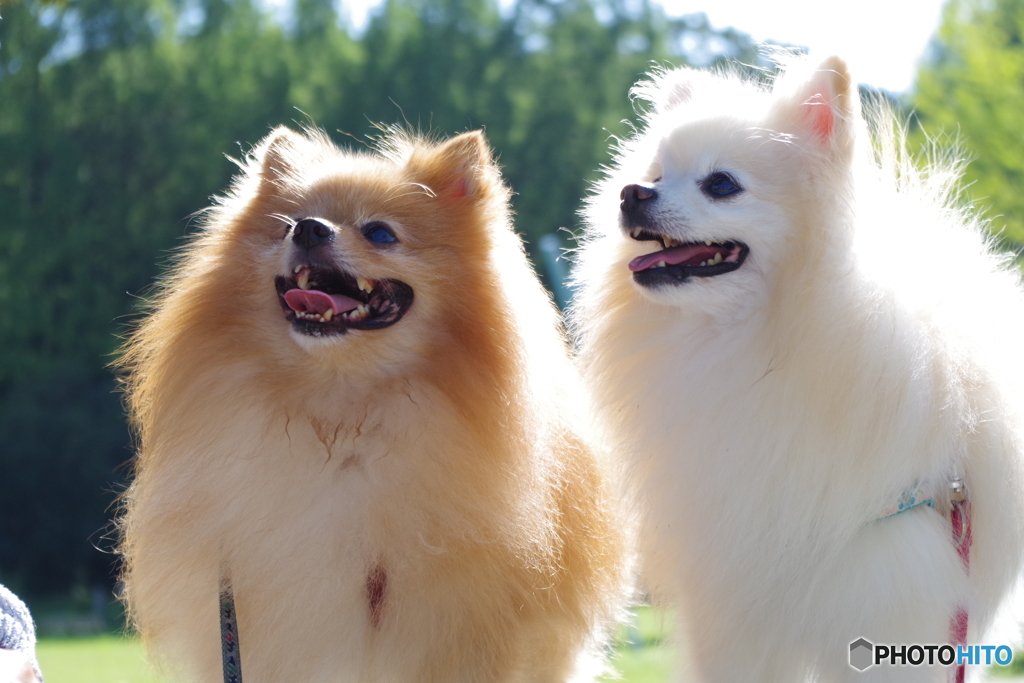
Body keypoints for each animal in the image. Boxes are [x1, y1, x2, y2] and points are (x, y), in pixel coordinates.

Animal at [573, 56, 1024, 679]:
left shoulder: (895, 591)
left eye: (721, 184)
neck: (760, 343)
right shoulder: (734, 607)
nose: (630, 193)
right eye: (657, 174)